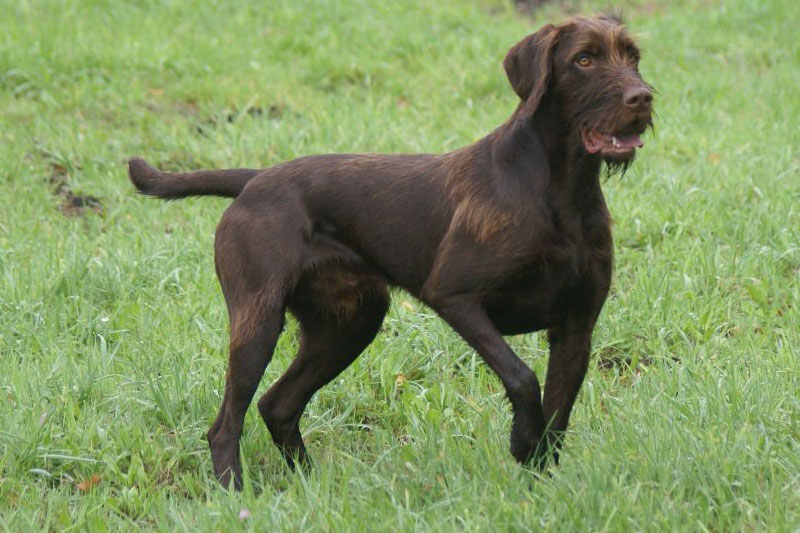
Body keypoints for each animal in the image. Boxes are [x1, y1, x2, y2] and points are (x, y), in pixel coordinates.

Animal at [128, 14, 652, 488]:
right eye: (583, 59)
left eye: (633, 57)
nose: (643, 97)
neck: (561, 189)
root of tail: (254, 180)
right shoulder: (455, 296)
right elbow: (523, 378)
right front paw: (522, 441)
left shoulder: (576, 329)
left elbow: (557, 418)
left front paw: (540, 484)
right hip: (259, 323)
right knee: (225, 424)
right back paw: (235, 493)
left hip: (348, 324)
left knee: (277, 405)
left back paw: (310, 486)